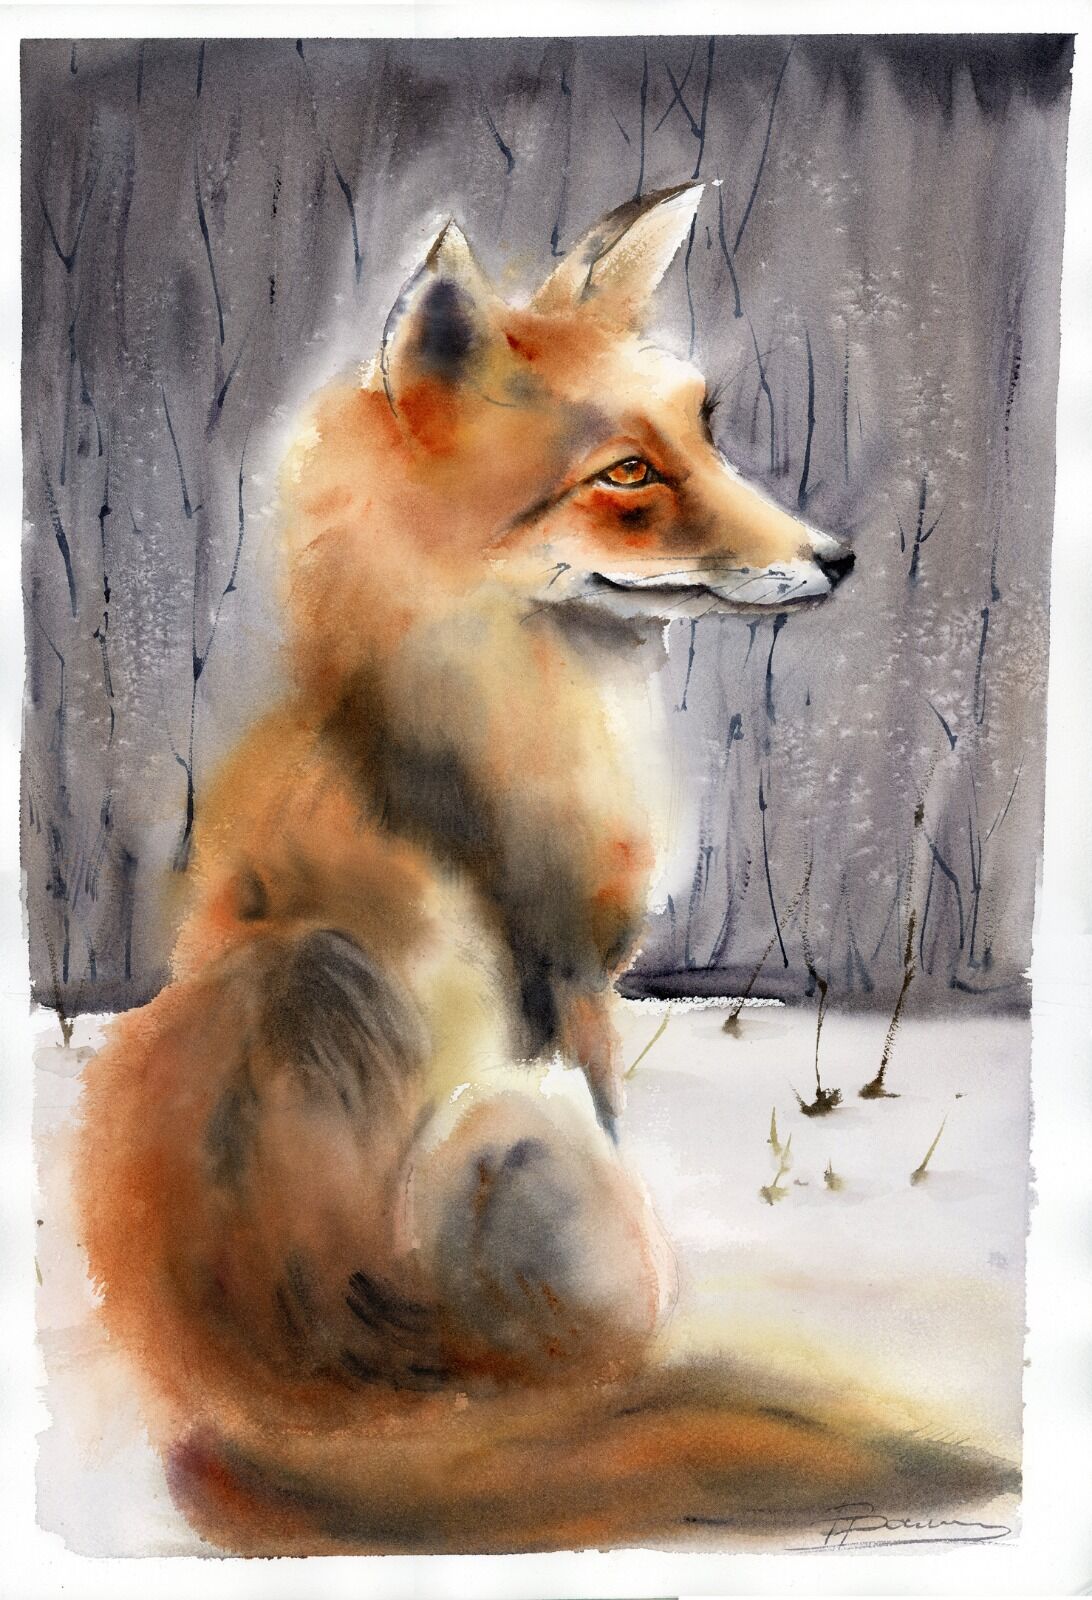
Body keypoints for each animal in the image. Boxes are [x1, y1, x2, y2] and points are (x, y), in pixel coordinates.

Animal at [75, 183, 1013, 1554]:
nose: (838, 557)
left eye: (703, 436)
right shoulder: (575, 972)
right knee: (589, 1365)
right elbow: (623, 1141)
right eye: (625, 473)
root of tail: (291, 1400)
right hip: (517, 1125)